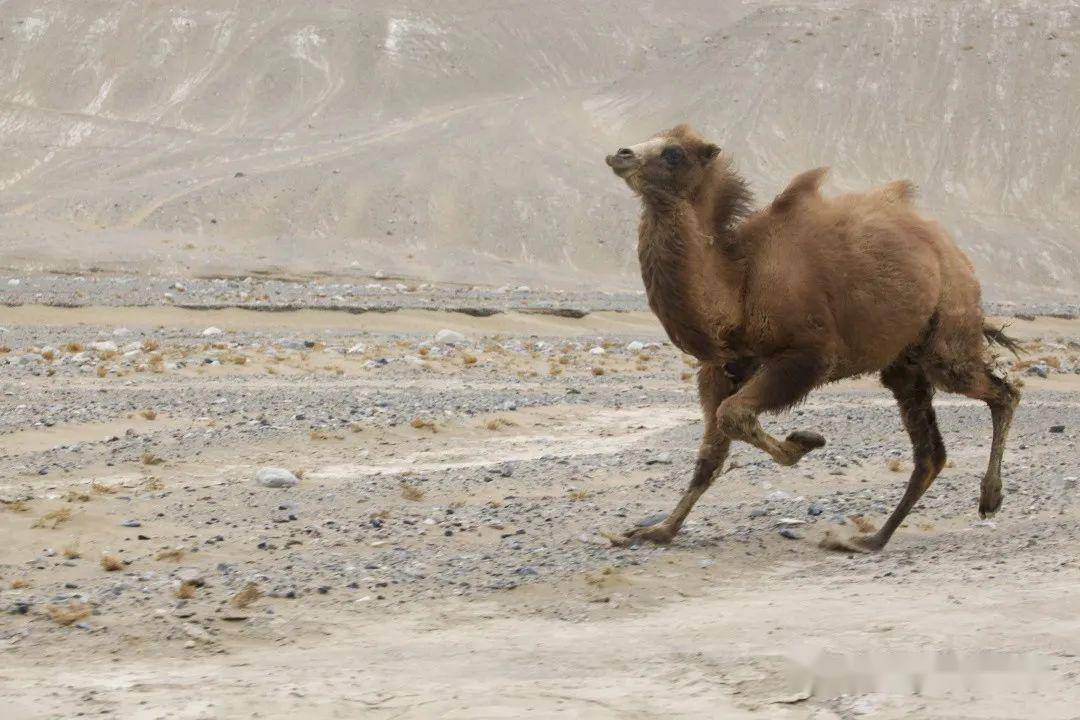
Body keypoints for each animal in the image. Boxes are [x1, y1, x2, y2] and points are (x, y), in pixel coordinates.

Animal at [609, 124, 1019, 552]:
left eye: (673, 153)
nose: (620, 154)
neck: (739, 284)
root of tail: (953, 252)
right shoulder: (721, 368)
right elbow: (710, 452)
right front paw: (656, 531)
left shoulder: (808, 355)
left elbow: (734, 416)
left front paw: (805, 441)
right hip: (904, 365)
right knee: (931, 453)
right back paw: (871, 540)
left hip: (947, 333)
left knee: (1002, 392)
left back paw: (989, 498)